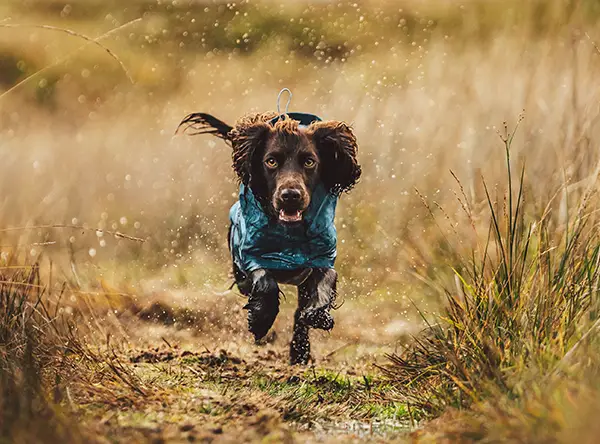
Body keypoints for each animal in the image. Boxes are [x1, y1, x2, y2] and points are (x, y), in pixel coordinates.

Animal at [176, 109, 358, 362]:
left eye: (309, 161)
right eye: (271, 161)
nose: (290, 195)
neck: (289, 235)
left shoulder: (322, 255)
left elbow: (326, 280)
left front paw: (317, 315)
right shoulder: (249, 255)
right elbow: (264, 280)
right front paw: (261, 320)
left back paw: (300, 351)